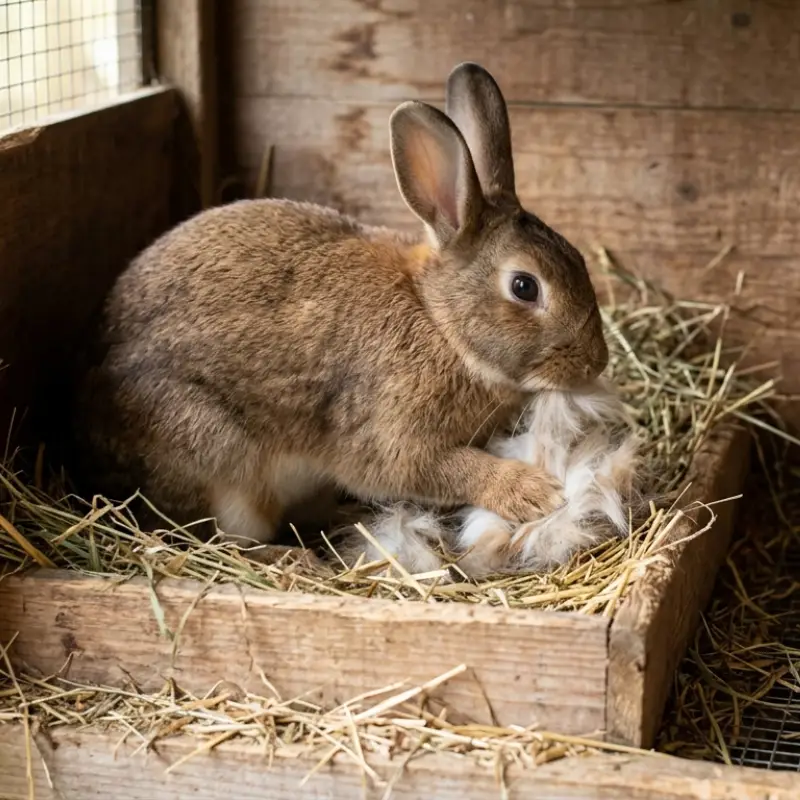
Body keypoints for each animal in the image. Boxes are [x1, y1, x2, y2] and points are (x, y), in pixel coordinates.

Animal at [69, 62, 608, 557]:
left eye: (580, 260)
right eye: (524, 287)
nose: (597, 362)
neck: (439, 322)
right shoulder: (392, 436)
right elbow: (443, 468)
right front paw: (534, 492)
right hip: (217, 464)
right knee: (219, 539)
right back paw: (294, 558)